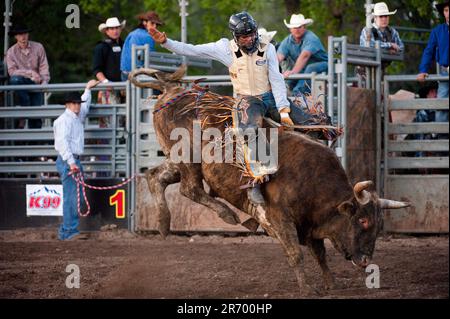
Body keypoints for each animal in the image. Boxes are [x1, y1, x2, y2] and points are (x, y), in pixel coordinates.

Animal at [130, 66, 412, 296]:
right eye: (362, 220)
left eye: (379, 225)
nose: (365, 261)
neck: (313, 181)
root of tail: (172, 91)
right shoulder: (279, 218)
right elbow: (296, 254)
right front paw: (307, 289)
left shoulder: (311, 223)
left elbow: (319, 254)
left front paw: (331, 283)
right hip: (188, 158)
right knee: (190, 189)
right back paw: (226, 214)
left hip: (176, 161)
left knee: (155, 177)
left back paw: (163, 223)